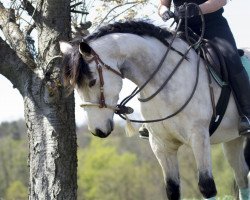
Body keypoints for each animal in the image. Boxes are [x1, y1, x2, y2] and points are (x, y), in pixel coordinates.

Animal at [59, 21, 250, 199]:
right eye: (76, 86)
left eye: (92, 82)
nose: (97, 130)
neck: (164, 80)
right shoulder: (161, 145)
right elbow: (172, 189)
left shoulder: (199, 137)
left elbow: (207, 186)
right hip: (233, 140)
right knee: (242, 178)